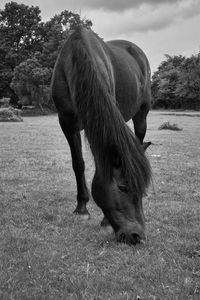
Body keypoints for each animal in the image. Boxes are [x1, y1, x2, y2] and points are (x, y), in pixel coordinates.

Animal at [50, 25, 151, 245]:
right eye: (122, 187)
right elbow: (78, 164)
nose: (137, 236)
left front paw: (104, 221)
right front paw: (81, 209)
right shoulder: (67, 123)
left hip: (142, 115)